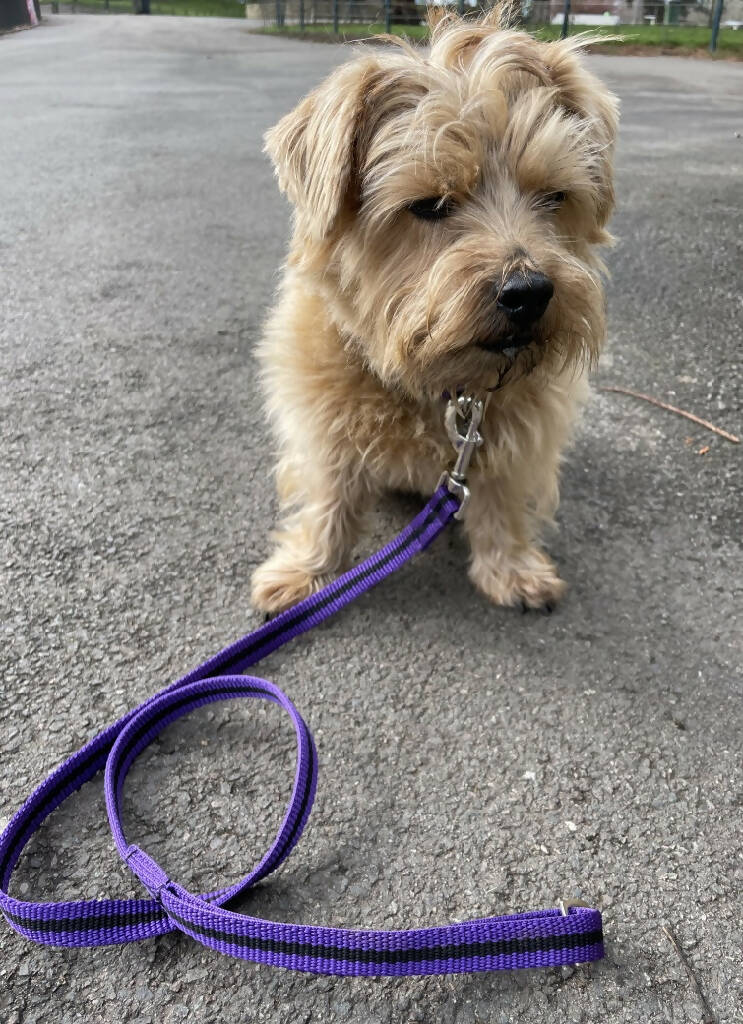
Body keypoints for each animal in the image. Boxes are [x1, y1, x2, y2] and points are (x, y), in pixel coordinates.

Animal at [252, 8, 618, 610]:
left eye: (553, 197)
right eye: (430, 204)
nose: (530, 292)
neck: (442, 384)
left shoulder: (516, 439)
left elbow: (502, 501)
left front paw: (511, 567)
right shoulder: (324, 429)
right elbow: (328, 498)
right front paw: (307, 572)